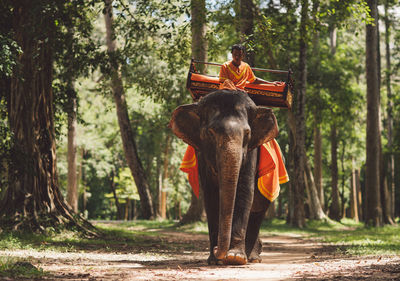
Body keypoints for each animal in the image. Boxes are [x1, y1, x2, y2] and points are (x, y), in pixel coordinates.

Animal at [169, 89, 278, 264]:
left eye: (247, 133)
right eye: (211, 132)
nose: (216, 249)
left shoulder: (252, 151)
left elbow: (245, 191)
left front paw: (235, 257)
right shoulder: (202, 153)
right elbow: (211, 195)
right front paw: (214, 260)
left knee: (258, 210)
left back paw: (252, 257)